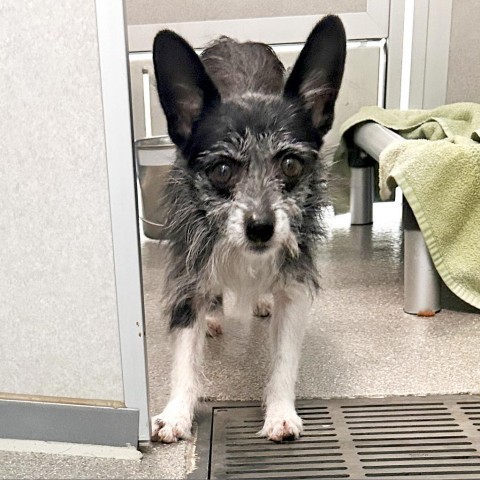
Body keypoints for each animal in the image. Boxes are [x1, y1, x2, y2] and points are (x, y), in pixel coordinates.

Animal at [150, 14, 344, 442]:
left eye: (290, 165)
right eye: (222, 170)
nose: (260, 228)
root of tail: (234, 40)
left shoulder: (294, 284)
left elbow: (285, 358)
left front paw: (280, 412)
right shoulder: (189, 274)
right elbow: (185, 359)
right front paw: (177, 414)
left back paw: (260, 302)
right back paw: (215, 317)